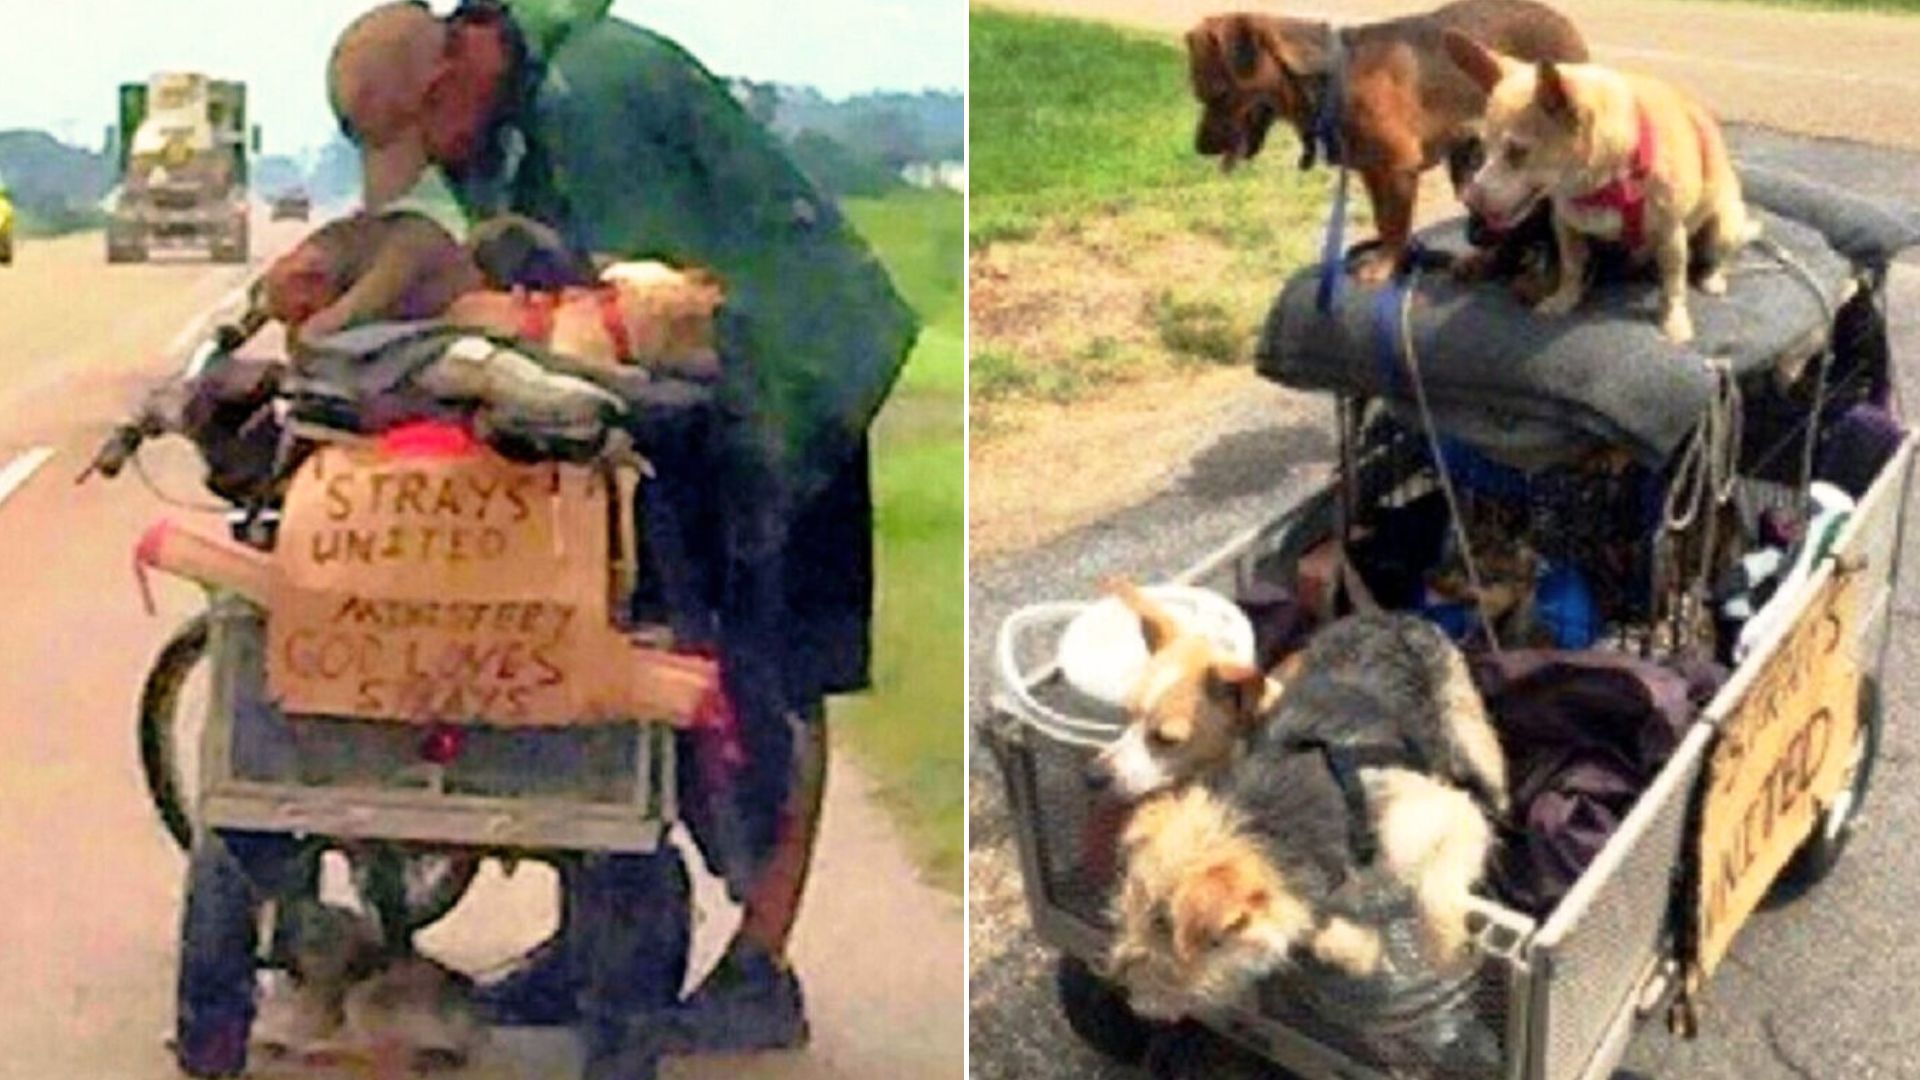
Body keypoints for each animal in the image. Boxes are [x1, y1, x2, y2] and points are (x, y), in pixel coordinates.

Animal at [1105, 611, 1505, 1022]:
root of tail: (1387, 616)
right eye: (1129, 908)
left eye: (1168, 927)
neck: (1273, 821)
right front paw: (1359, 949)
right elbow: (1319, 931)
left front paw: (1448, 951)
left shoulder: (1449, 816)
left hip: (1473, 735)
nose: (1118, 987)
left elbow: (1437, 894)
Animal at [1182, 0, 1589, 282]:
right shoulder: (1373, 171)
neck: (1333, 79)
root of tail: (1564, 21)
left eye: (1218, 94)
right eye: (1199, 95)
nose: (1199, 149)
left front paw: (1385, 266)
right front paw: (1394, 259)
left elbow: (1395, 226)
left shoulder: (1397, 170)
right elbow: (1383, 221)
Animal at [1443, 31, 1758, 340]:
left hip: (1723, 228)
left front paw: (1674, 323)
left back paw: (1713, 278)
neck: (1603, 184)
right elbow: (1571, 267)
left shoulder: (1670, 234)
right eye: (1482, 151)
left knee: (1717, 257)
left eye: (1517, 152)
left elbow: (1673, 283)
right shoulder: (1565, 227)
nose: (1470, 199)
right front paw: (1563, 300)